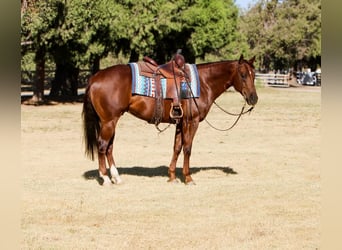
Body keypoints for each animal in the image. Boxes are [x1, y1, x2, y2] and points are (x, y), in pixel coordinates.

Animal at [83, 54, 258, 185]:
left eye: (254, 75)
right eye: (243, 75)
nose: (253, 98)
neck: (204, 83)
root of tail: (95, 78)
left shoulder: (180, 122)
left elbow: (177, 147)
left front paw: (172, 176)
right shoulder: (191, 122)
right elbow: (187, 148)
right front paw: (188, 177)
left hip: (110, 122)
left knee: (109, 148)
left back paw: (116, 177)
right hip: (109, 121)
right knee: (102, 146)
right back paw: (105, 178)